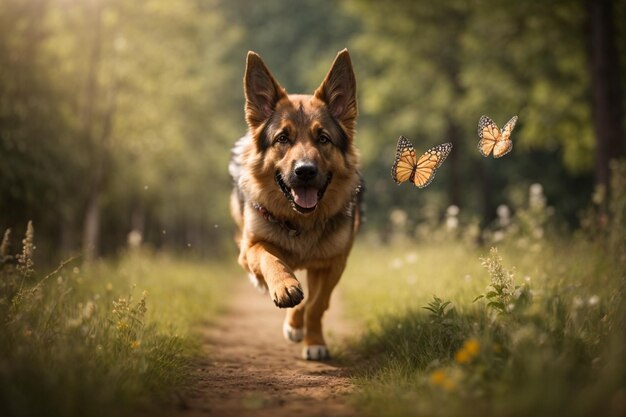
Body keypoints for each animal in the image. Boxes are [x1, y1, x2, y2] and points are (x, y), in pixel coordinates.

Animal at [228, 49, 360, 360]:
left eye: (323, 138)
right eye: (282, 138)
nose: (305, 171)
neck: (301, 221)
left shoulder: (333, 264)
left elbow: (315, 304)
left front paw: (313, 340)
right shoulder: (252, 246)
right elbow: (269, 257)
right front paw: (284, 285)